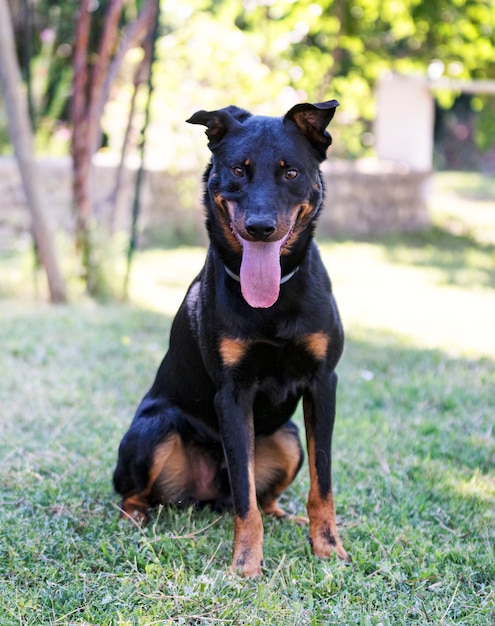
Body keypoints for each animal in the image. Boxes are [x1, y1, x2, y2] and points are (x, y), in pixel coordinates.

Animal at [114, 98, 350, 576]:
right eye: (239, 171)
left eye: (290, 172)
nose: (260, 227)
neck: (273, 301)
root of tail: (210, 493)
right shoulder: (232, 393)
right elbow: (245, 498)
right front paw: (245, 565)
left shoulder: (323, 383)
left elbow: (323, 483)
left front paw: (327, 547)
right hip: (154, 430)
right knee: (136, 493)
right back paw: (136, 518)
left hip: (288, 439)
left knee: (267, 497)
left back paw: (288, 517)